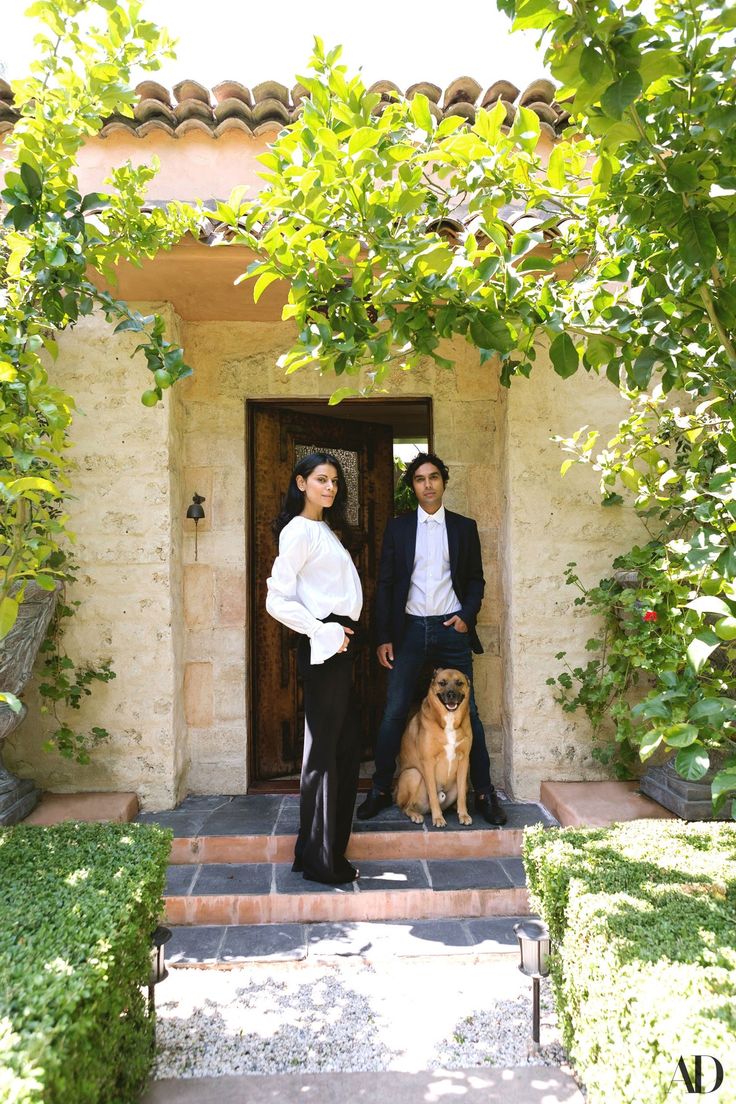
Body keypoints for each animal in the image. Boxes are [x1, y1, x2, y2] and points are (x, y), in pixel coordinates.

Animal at [397, 662, 472, 830]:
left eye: (459, 683)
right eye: (442, 683)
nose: (451, 694)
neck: (449, 720)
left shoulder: (464, 760)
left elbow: (462, 797)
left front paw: (464, 814)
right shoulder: (428, 762)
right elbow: (432, 795)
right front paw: (438, 818)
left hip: (465, 780)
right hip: (413, 774)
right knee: (406, 807)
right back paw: (416, 815)